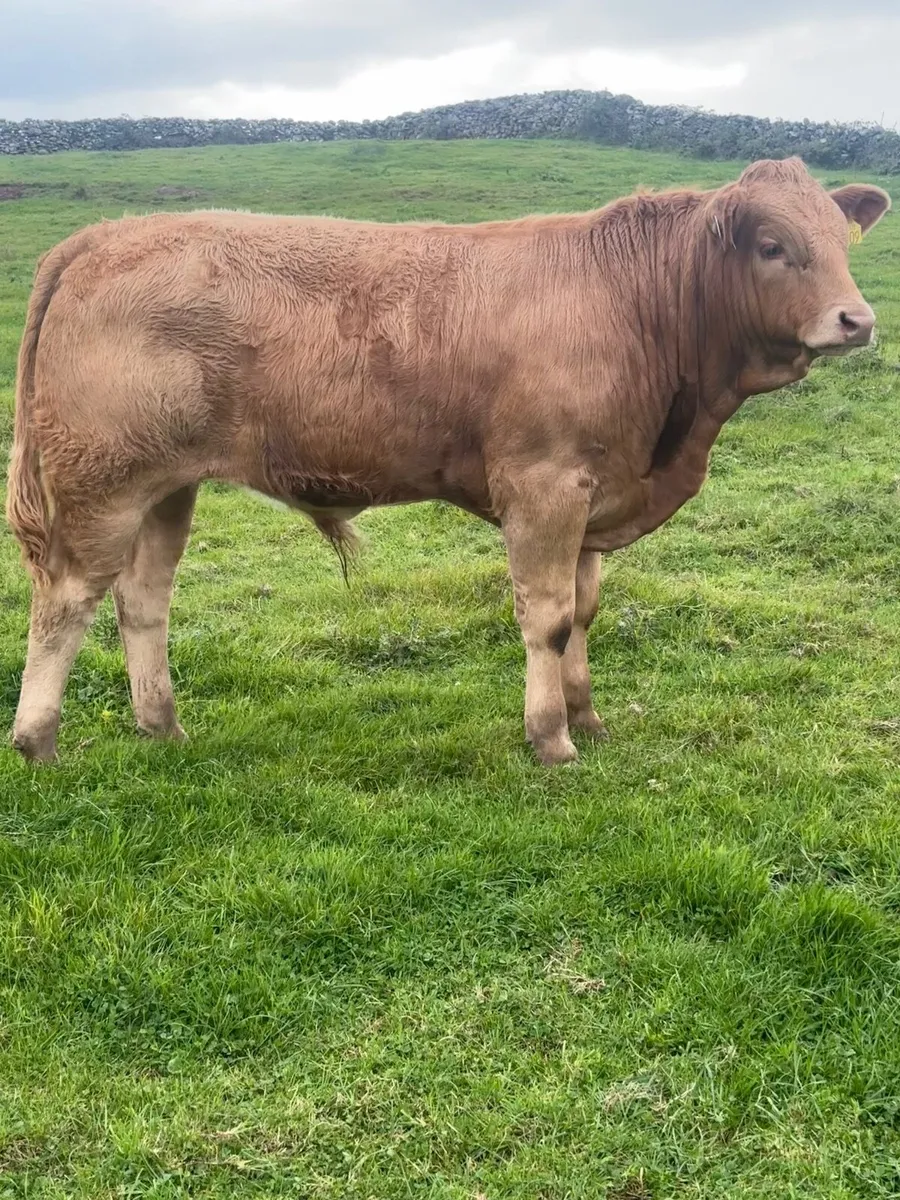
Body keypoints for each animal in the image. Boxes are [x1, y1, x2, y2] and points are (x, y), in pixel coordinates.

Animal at [4, 156, 890, 766]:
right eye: (773, 245)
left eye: (839, 241)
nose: (857, 320)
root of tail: (103, 235)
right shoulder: (543, 485)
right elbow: (549, 617)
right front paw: (551, 738)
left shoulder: (594, 492)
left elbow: (584, 612)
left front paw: (588, 716)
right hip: (102, 483)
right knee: (66, 600)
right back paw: (38, 739)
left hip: (168, 486)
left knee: (142, 600)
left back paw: (162, 726)